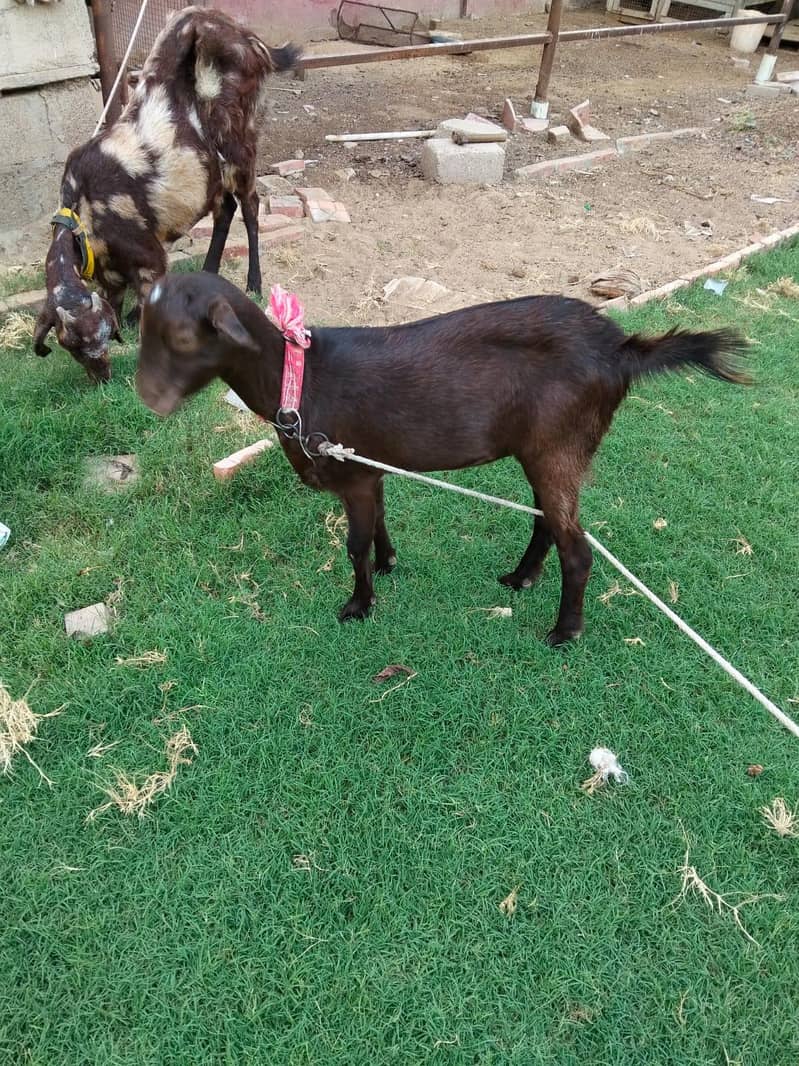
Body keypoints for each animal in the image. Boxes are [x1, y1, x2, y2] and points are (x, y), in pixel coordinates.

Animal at [33, 6, 299, 382]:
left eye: (99, 335)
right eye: (68, 345)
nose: (102, 377)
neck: (83, 214)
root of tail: (251, 39)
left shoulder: (148, 258)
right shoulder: (111, 275)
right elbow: (116, 300)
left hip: (240, 145)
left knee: (250, 206)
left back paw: (254, 285)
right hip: (210, 170)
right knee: (225, 209)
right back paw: (209, 272)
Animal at [135, 272, 748, 644]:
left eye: (184, 339)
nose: (148, 397)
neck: (299, 379)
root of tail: (621, 351)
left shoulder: (352, 474)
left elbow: (353, 543)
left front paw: (359, 605)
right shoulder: (370, 466)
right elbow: (380, 523)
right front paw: (388, 564)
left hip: (560, 447)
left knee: (577, 547)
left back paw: (563, 631)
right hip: (541, 451)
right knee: (548, 521)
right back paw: (520, 578)